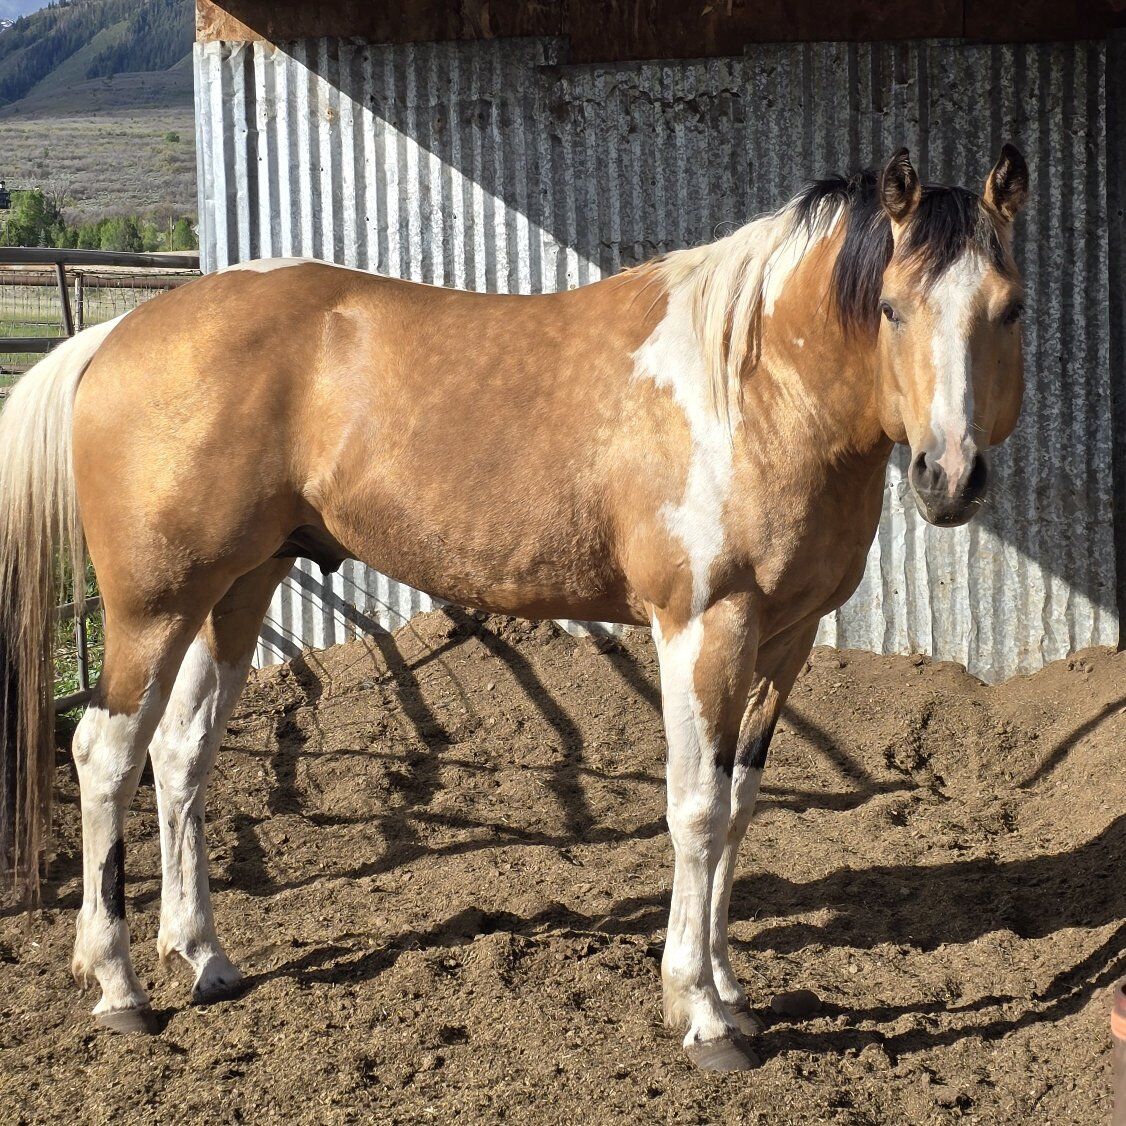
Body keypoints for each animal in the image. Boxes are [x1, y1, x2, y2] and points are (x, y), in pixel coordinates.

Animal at [0, 145, 1028, 1070]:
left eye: (1008, 308)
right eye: (891, 307)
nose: (949, 479)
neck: (754, 388)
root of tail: (117, 336)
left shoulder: (785, 637)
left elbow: (740, 806)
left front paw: (732, 988)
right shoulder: (703, 628)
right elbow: (696, 809)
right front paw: (699, 1015)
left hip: (236, 590)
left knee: (181, 757)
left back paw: (205, 959)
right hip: (153, 605)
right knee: (105, 755)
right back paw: (119, 989)